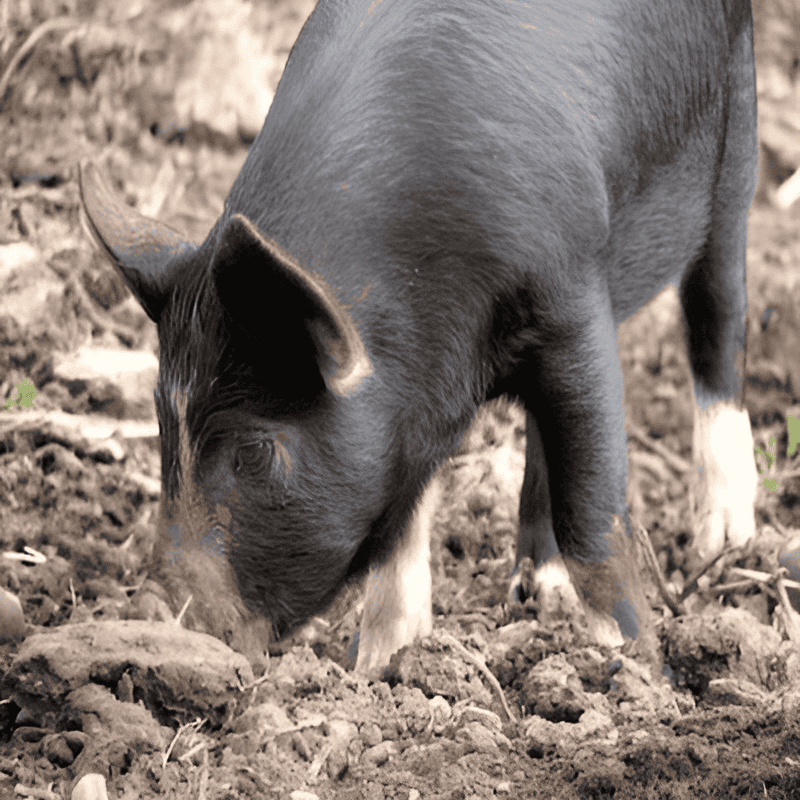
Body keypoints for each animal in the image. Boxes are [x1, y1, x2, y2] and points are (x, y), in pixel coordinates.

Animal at [79, 0, 759, 672]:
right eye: (162, 430)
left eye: (255, 450)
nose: (153, 610)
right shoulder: (417, 395)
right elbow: (402, 521)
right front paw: (377, 665)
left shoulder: (569, 294)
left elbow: (590, 513)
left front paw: (640, 665)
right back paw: (536, 590)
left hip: (735, 135)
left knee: (717, 316)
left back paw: (723, 542)